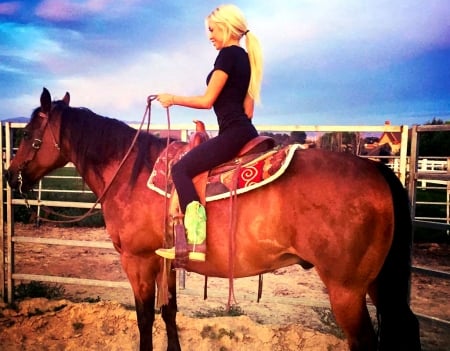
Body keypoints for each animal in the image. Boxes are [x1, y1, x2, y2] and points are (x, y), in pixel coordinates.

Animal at [4, 88, 422, 351]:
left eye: (27, 134)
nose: (10, 176)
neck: (130, 173)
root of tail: (377, 171)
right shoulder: (166, 262)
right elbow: (169, 312)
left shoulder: (138, 261)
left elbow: (144, 318)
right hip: (375, 283)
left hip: (347, 290)